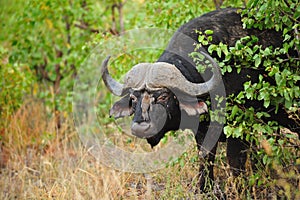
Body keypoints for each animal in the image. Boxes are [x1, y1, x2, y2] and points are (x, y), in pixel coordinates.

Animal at [102, 8, 298, 191]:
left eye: (164, 96)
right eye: (133, 98)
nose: (140, 128)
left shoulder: (239, 128)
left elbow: (234, 162)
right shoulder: (203, 130)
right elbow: (205, 158)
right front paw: (204, 188)